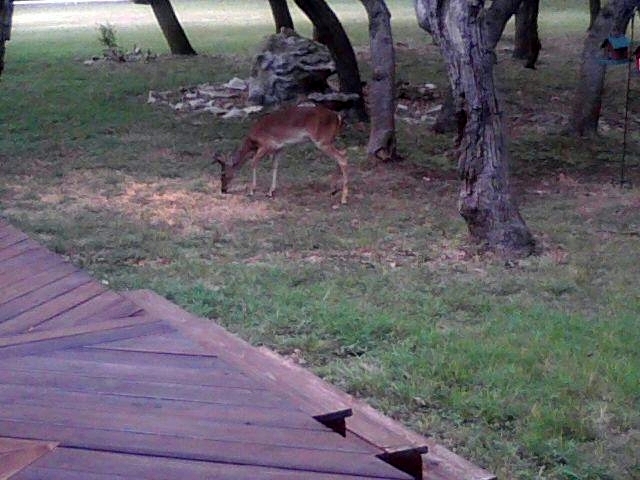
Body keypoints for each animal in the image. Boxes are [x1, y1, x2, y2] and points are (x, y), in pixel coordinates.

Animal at [214, 104, 350, 203]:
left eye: (223, 174)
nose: (223, 190)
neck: (253, 142)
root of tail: (337, 117)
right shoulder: (279, 148)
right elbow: (275, 166)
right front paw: (270, 192)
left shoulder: (266, 145)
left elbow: (253, 163)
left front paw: (252, 190)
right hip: (329, 140)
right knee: (342, 153)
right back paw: (334, 190)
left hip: (322, 141)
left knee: (342, 158)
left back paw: (343, 199)